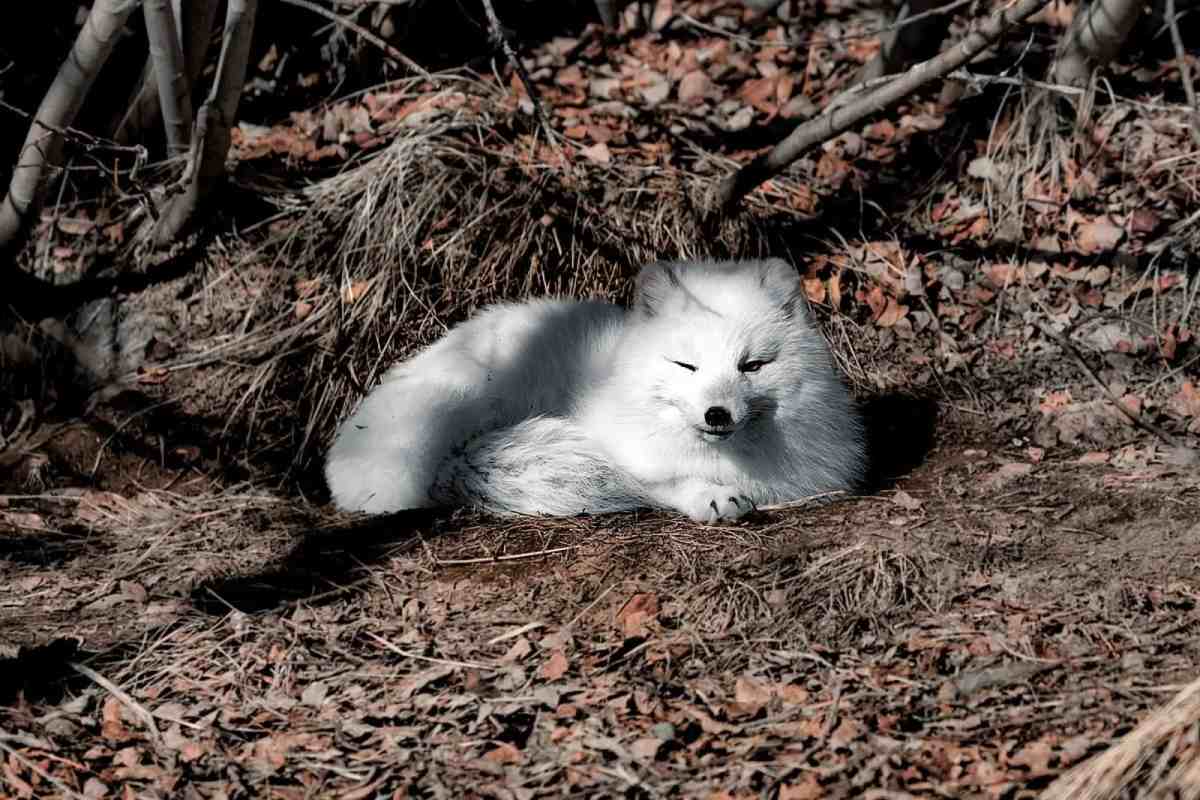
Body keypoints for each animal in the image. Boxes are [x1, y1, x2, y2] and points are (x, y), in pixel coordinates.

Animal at [325, 258, 866, 523]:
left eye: (752, 365)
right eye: (686, 365)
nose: (717, 414)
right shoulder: (616, 444)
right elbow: (656, 481)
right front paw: (710, 497)